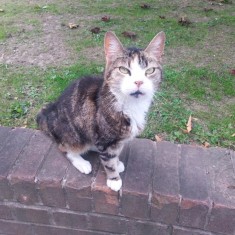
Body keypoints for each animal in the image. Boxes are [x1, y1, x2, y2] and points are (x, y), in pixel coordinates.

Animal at [36, 31, 165, 192]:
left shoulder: (116, 140)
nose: (138, 82)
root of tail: (50, 117)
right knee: (65, 147)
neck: (130, 104)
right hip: (74, 134)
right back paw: (81, 162)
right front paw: (114, 179)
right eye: (123, 70)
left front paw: (117, 163)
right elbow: (108, 161)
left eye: (150, 71)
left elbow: (114, 154)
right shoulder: (104, 137)